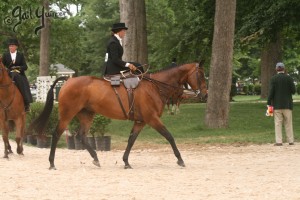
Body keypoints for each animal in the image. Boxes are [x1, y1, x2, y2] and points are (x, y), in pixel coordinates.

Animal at [31, 61, 209, 170]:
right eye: (200, 75)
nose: (205, 95)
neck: (155, 87)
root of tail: (68, 81)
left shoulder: (140, 121)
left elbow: (131, 140)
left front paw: (126, 161)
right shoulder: (152, 119)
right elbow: (169, 136)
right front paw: (180, 159)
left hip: (86, 115)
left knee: (81, 135)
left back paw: (96, 158)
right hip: (67, 114)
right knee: (56, 134)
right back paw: (52, 163)